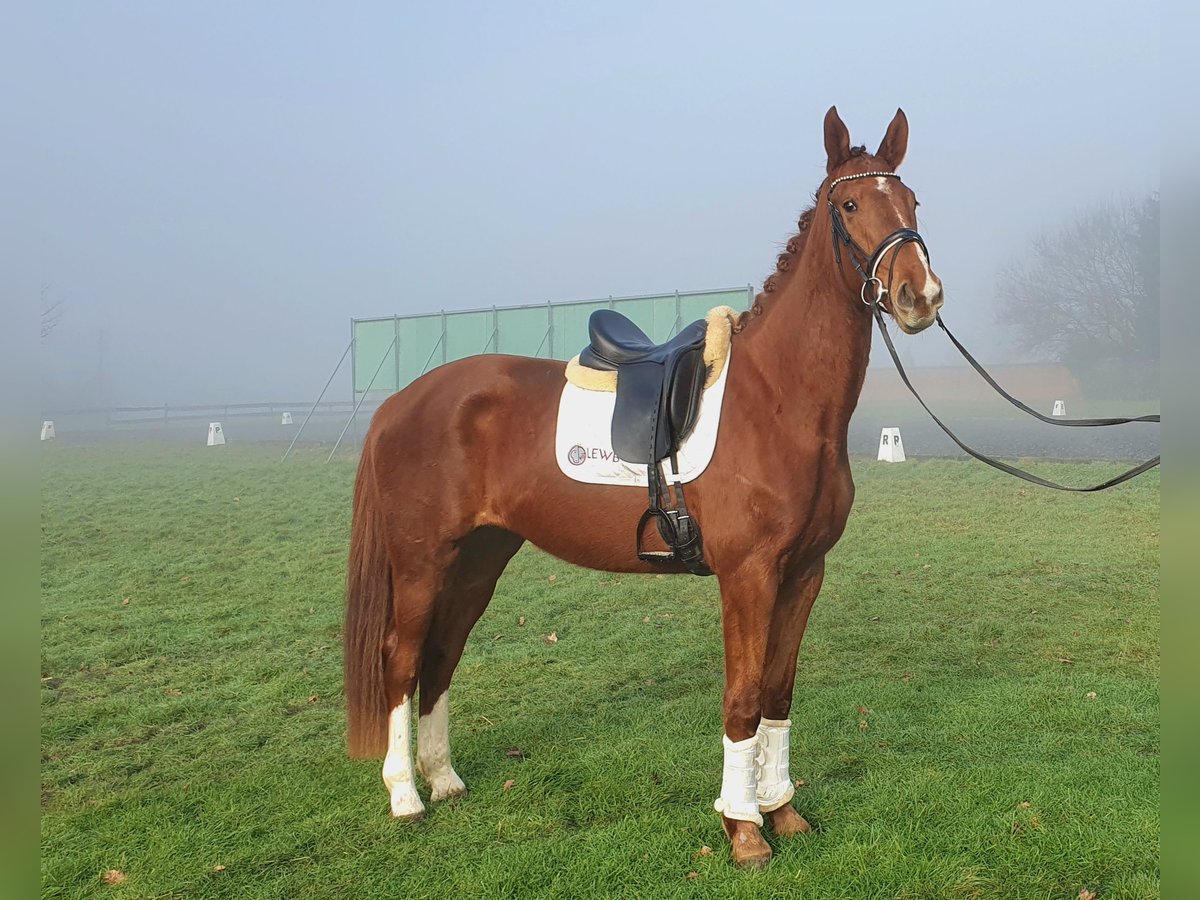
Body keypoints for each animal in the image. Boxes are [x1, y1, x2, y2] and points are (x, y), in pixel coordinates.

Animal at [343, 107, 940, 873]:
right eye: (851, 205)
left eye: (913, 202)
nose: (921, 295)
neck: (778, 399)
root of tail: (400, 402)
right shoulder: (748, 576)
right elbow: (743, 698)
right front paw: (743, 830)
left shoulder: (805, 572)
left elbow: (777, 694)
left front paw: (783, 812)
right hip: (422, 560)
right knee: (402, 657)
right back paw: (405, 797)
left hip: (479, 556)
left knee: (442, 655)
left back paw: (444, 781)